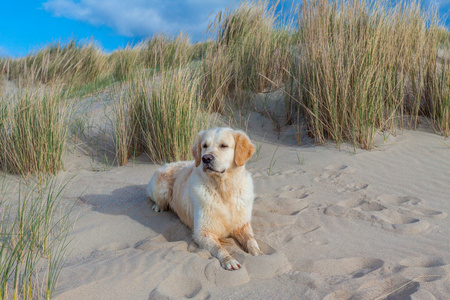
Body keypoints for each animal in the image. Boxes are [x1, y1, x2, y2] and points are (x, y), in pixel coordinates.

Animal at [146, 126, 262, 270]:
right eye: (204, 146)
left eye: (224, 145)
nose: (206, 158)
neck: (224, 190)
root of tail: (167, 163)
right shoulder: (203, 232)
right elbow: (219, 247)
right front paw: (229, 260)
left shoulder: (242, 225)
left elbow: (251, 240)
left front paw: (258, 253)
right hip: (162, 188)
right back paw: (158, 206)